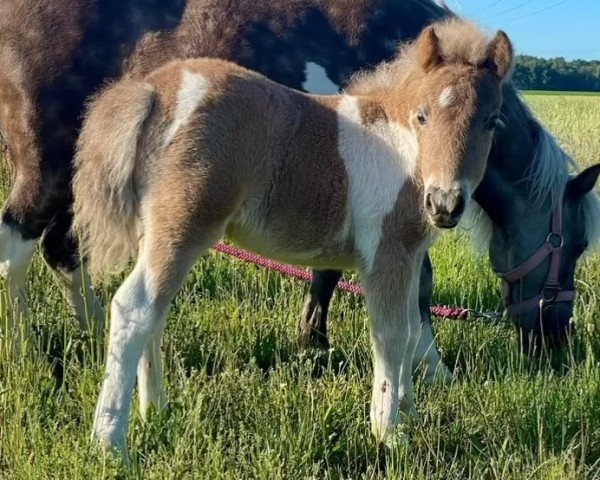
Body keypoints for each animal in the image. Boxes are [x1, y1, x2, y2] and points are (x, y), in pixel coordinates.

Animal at [0, 0, 596, 364]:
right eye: (574, 244)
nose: (557, 338)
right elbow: (418, 284)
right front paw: (431, 365)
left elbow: (327, 273)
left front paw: (314, 343)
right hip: (46, 159)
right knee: (17, 243)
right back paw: (26, 350)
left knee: (63, 250)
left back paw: (91, 334)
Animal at [72, 18, 512, 452]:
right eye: (422, 116)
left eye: (491, 121)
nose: (444, 204)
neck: (403, 146)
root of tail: (153, 89)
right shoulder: (385, 254)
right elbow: (390, 335)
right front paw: (390, 434)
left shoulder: (409, 255)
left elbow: (409, 329)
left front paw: (409, 413)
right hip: (183, 224)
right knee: (134, 307)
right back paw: (109, 442)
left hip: (156, 233)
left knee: (156, 312)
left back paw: (156, 411)